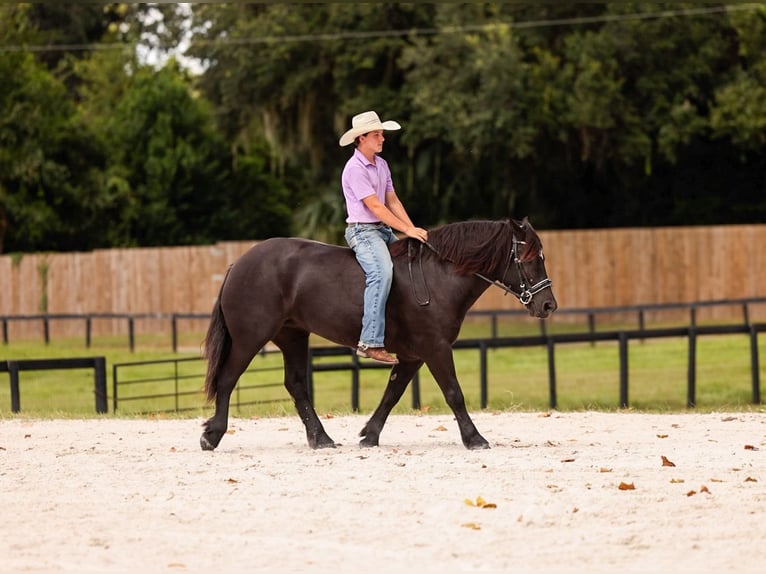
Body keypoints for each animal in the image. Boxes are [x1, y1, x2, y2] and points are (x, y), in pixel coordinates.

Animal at [201, 217, 557, 451]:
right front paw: (475, 439)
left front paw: (369, 436)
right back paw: (212, 435)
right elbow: (453, 393)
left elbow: (392, 394)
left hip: (293, 336)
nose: (548, 305)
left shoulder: (413, 355)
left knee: (296, 385)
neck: (437, 277)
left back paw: (321, 439)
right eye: (530, 258)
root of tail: (239, 264)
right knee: (228, 379)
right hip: (250, 337)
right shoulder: (436, 349)